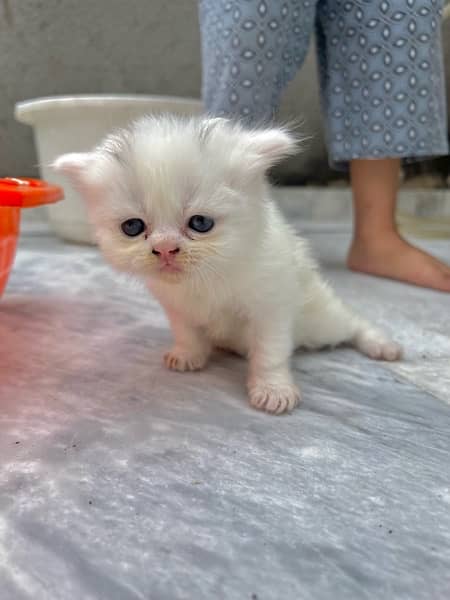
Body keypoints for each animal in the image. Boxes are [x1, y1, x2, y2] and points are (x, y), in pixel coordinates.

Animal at [54, 117, 402, 418]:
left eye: (200, 223)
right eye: (132, 227)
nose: (165, 249)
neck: (206, 276)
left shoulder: (272, 306)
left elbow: (270, 353)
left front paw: (273, 390)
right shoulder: (176, 306)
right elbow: (187, 332)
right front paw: (189, 354)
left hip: (319, 322)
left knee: (352, 321)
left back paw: (381, 345)